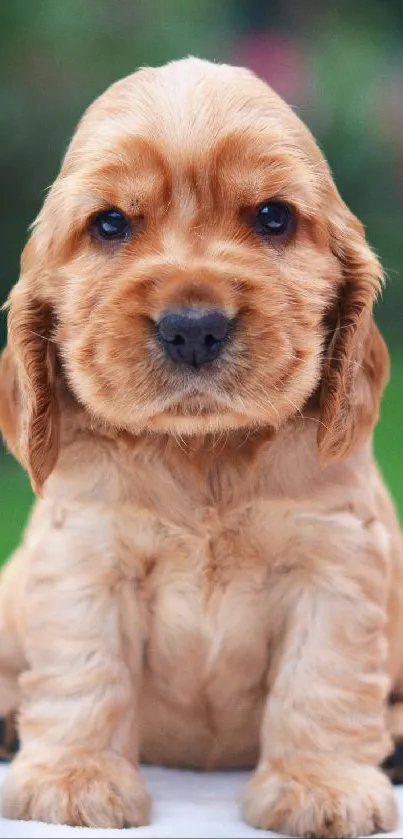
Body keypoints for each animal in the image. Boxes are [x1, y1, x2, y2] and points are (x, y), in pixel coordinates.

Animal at [0, 55, 403, 836]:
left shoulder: (334, 561)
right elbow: (85, 669)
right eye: (110, 223)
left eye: (273, 216)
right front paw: (74, 779)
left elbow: (321, 679)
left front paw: (319, 786)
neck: (202, 451)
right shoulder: (85, 558)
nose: (193, 327)